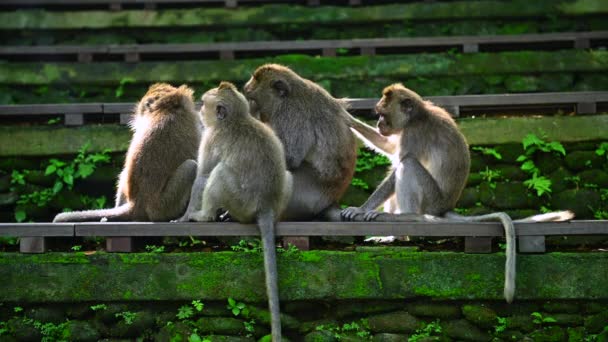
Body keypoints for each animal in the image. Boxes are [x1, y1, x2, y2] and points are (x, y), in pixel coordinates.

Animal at [180, 82, 292, 340]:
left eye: (205, 103)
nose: (200, 110)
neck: (236, 119)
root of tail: (266, 205)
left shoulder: (211, 137)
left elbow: (202, 177)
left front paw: (184, 216)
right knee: (289, 175)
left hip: (241, 202)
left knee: (220, 173)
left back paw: (205, 216)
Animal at [241, 64, 358, 222]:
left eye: (253, 100)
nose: (246, 87)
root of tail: (330, 201)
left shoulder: (291, 114)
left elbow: (290, 159)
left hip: (304, 197)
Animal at [342, 84, 576, 304]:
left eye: (383, 114)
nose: (379, 124)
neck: (416, 116)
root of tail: (446, 207)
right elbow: (390, 149)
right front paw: (349, 119)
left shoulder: (414, 134)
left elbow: (400, 162)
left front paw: (361, 208)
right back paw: (395, 235)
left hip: (431, 201)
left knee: (407, 166)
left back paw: (407, 218)